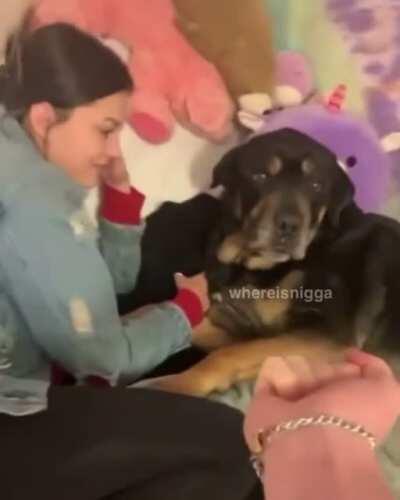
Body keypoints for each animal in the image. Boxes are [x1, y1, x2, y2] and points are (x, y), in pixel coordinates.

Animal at [149, 128, 400, 396]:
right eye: (260, 176)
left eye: (316, 185)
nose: (289, 226)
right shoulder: (245, 327)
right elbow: (198, 328)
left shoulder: (330, 336)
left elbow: (228, 355)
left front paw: (177, 385)